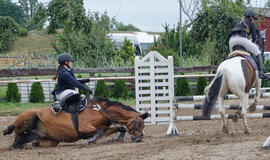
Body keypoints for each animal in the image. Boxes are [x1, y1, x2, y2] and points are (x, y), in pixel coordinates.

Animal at [2, 97, 148, 149]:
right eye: (139, 124)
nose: (139, 139)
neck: (100, 110)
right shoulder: (84, 128)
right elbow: (97, 133)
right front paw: (88, 141)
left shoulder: (105, 128)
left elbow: (119, 129)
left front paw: (118, 138)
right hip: (29, 115)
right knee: (14, 128)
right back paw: (7, 129)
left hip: (50, 140)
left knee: (23, 139)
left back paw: (30, 143)